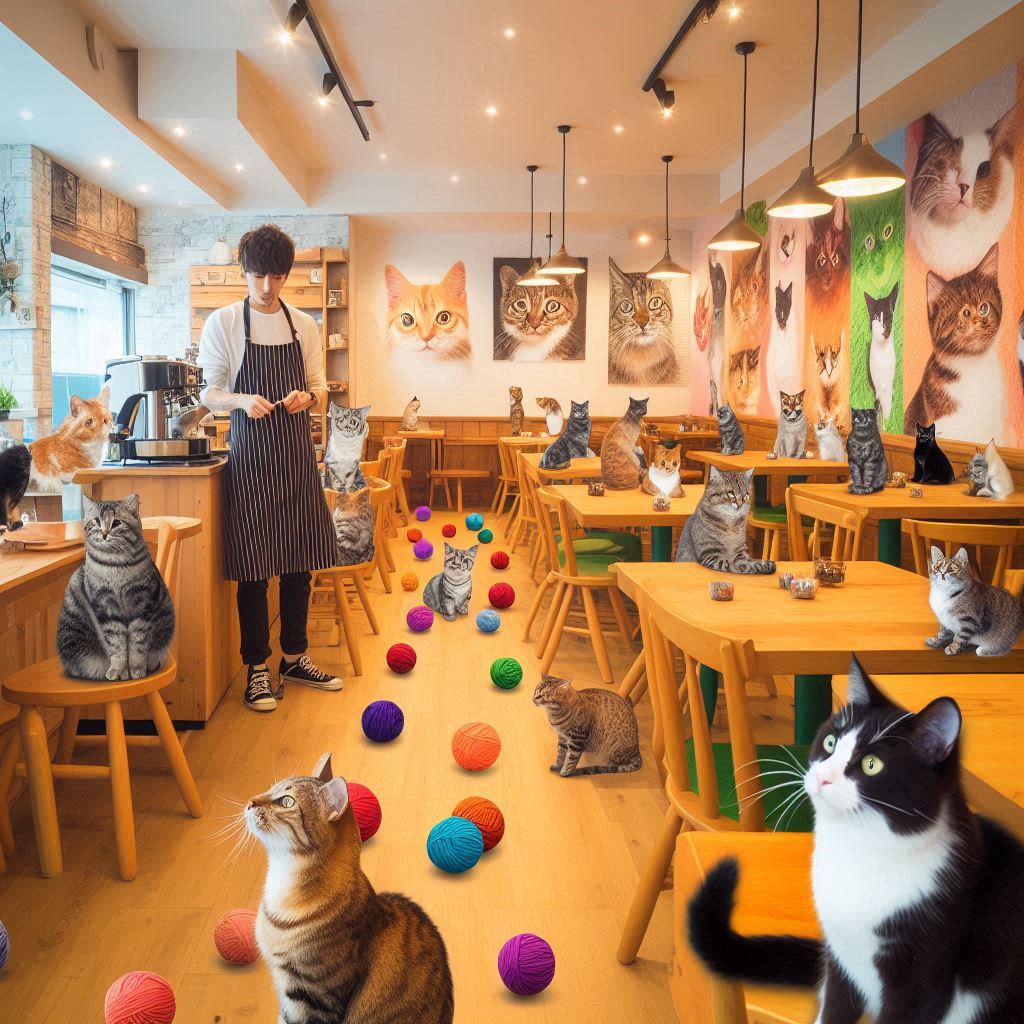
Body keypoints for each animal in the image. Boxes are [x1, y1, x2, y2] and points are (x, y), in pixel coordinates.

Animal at [56, 493, 175, 679]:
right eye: (97, 521)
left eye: (116, 523)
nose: (104, 533)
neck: (115, 566)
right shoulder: (105, 608)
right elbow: (116, 644)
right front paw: (119, 670)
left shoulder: (142, 605)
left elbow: (137, 643)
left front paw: (136, 669)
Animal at [684, 655, 1024, 1024]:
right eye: (830, 743)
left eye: (872, 764)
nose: (821, 776)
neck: (859, 848)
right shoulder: (841, 959)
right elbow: (833, 1006)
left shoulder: (923, 979)